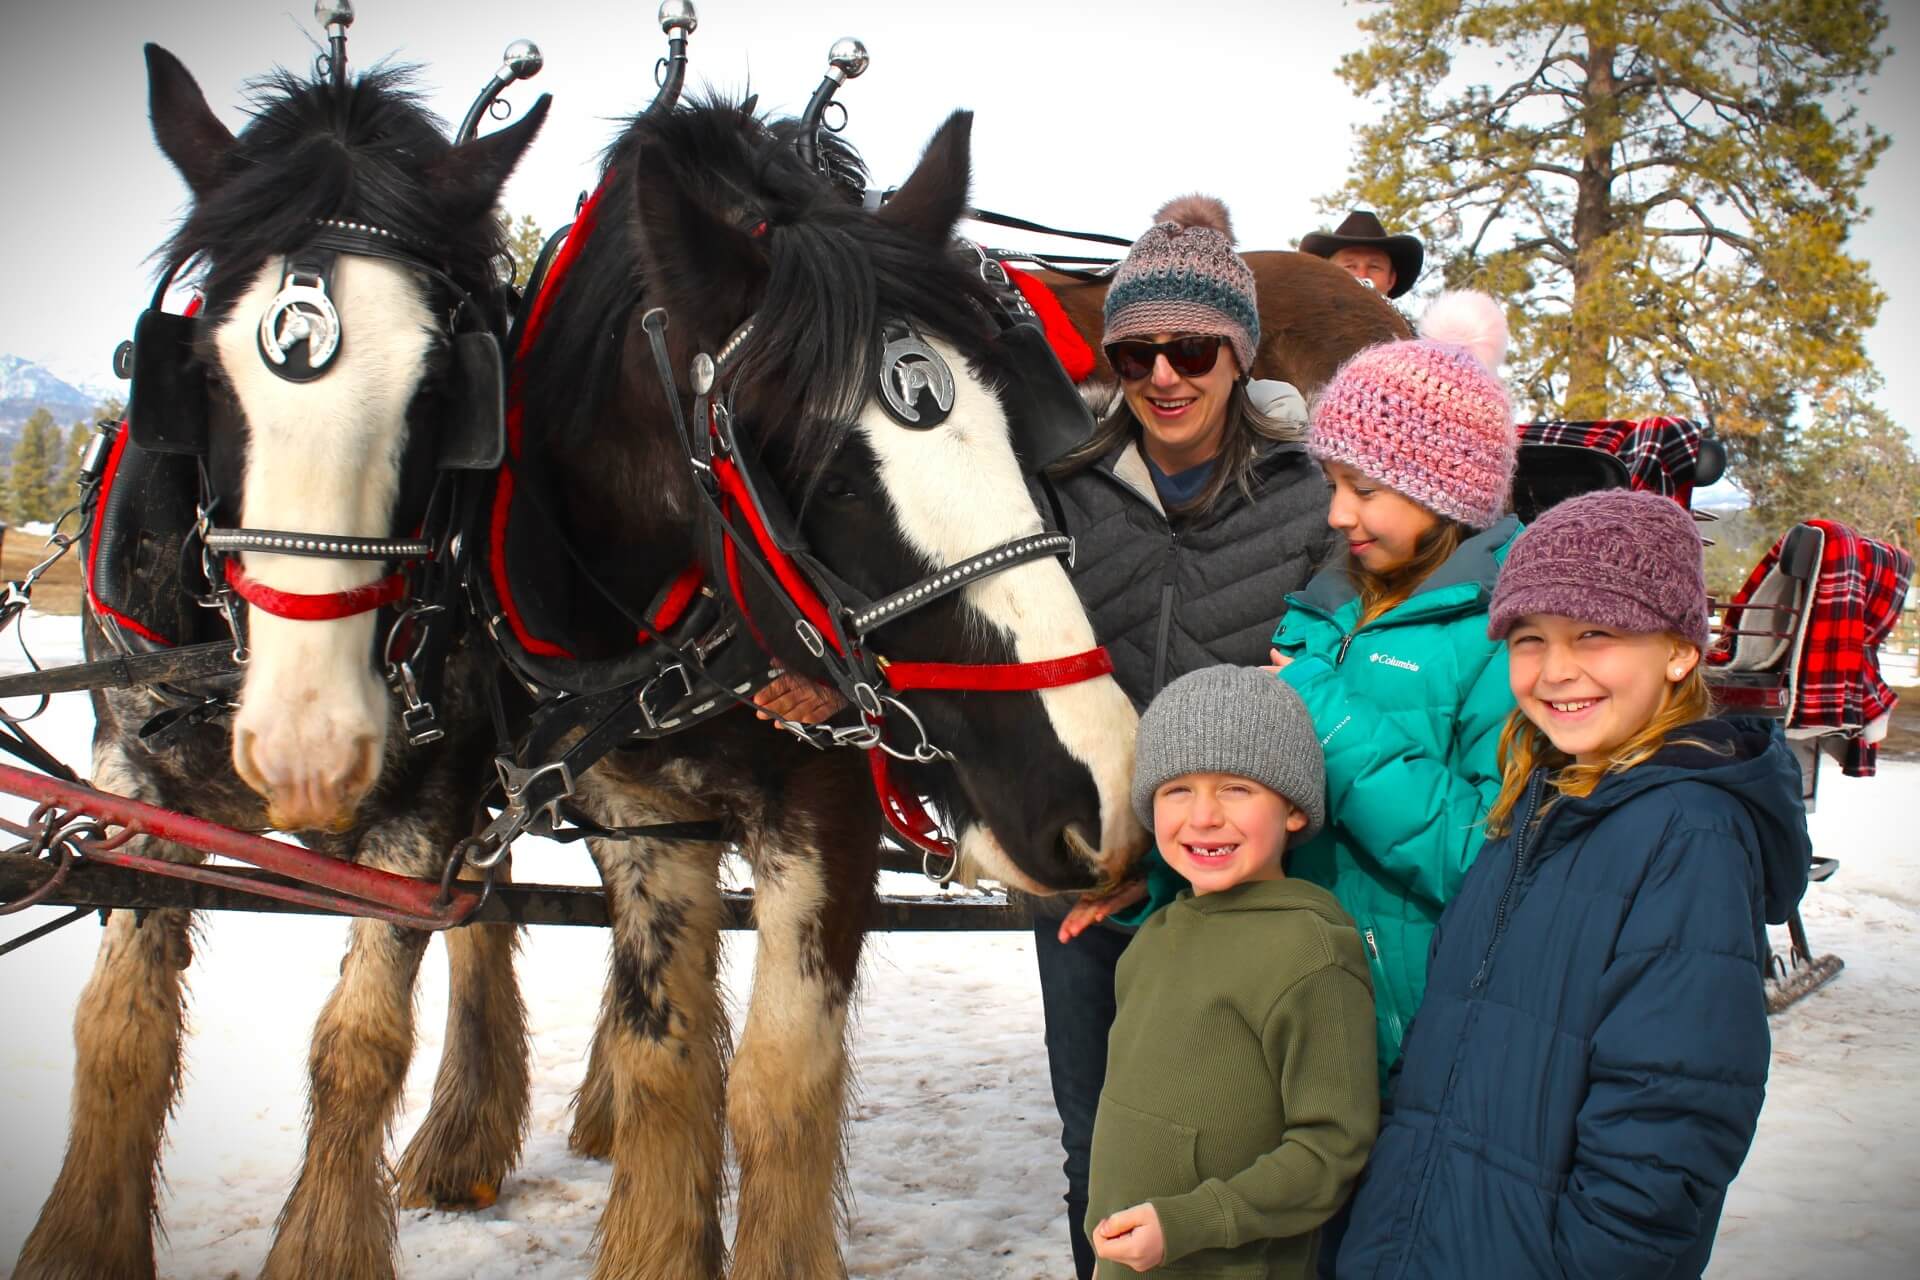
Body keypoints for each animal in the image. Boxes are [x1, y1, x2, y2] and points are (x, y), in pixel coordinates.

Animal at [15, 46, 548, 1280]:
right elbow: (119, 1029)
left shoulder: (429, 799)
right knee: (489, 914)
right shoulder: (134, 778)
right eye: (202, 374)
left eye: (444, 390)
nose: (308, 747)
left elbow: (358, 1043)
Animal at [492, 96, 1144, 1277]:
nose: (1106, 787)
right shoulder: (636, 815)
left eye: (1018, 429)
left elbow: (775, 1088)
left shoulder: (830, 814)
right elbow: (672, 1072)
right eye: (833, 480)